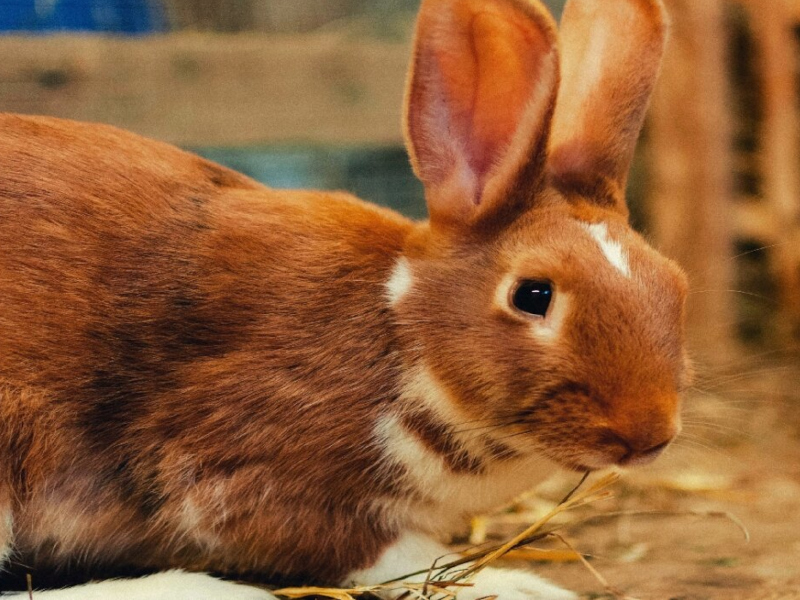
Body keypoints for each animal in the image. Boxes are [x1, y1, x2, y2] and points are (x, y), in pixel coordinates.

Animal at [0, 0, 689, 598]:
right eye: (533, 294)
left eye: (676, 284)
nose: (650, 434)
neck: (403, 335)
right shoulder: (247, 473)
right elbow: (393, 554)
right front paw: (517, 584)